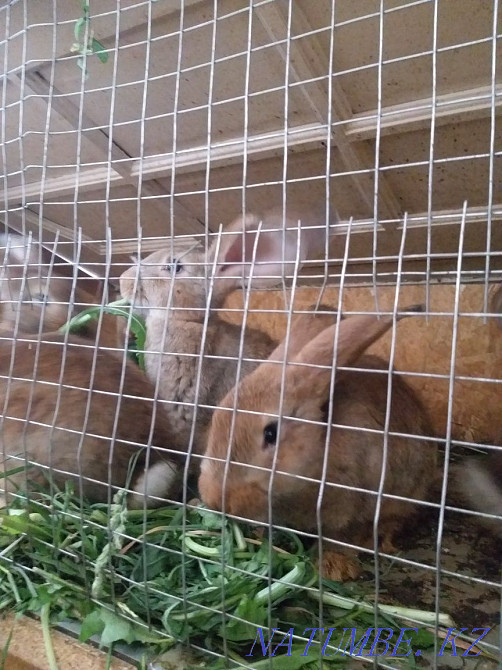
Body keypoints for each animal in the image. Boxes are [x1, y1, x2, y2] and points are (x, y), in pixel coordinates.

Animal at [199, 306, 438, 581]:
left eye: (270, 434)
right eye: (217, 417)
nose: (216, 499)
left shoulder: (353, 503)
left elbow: (340, 537)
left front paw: (334, 567)